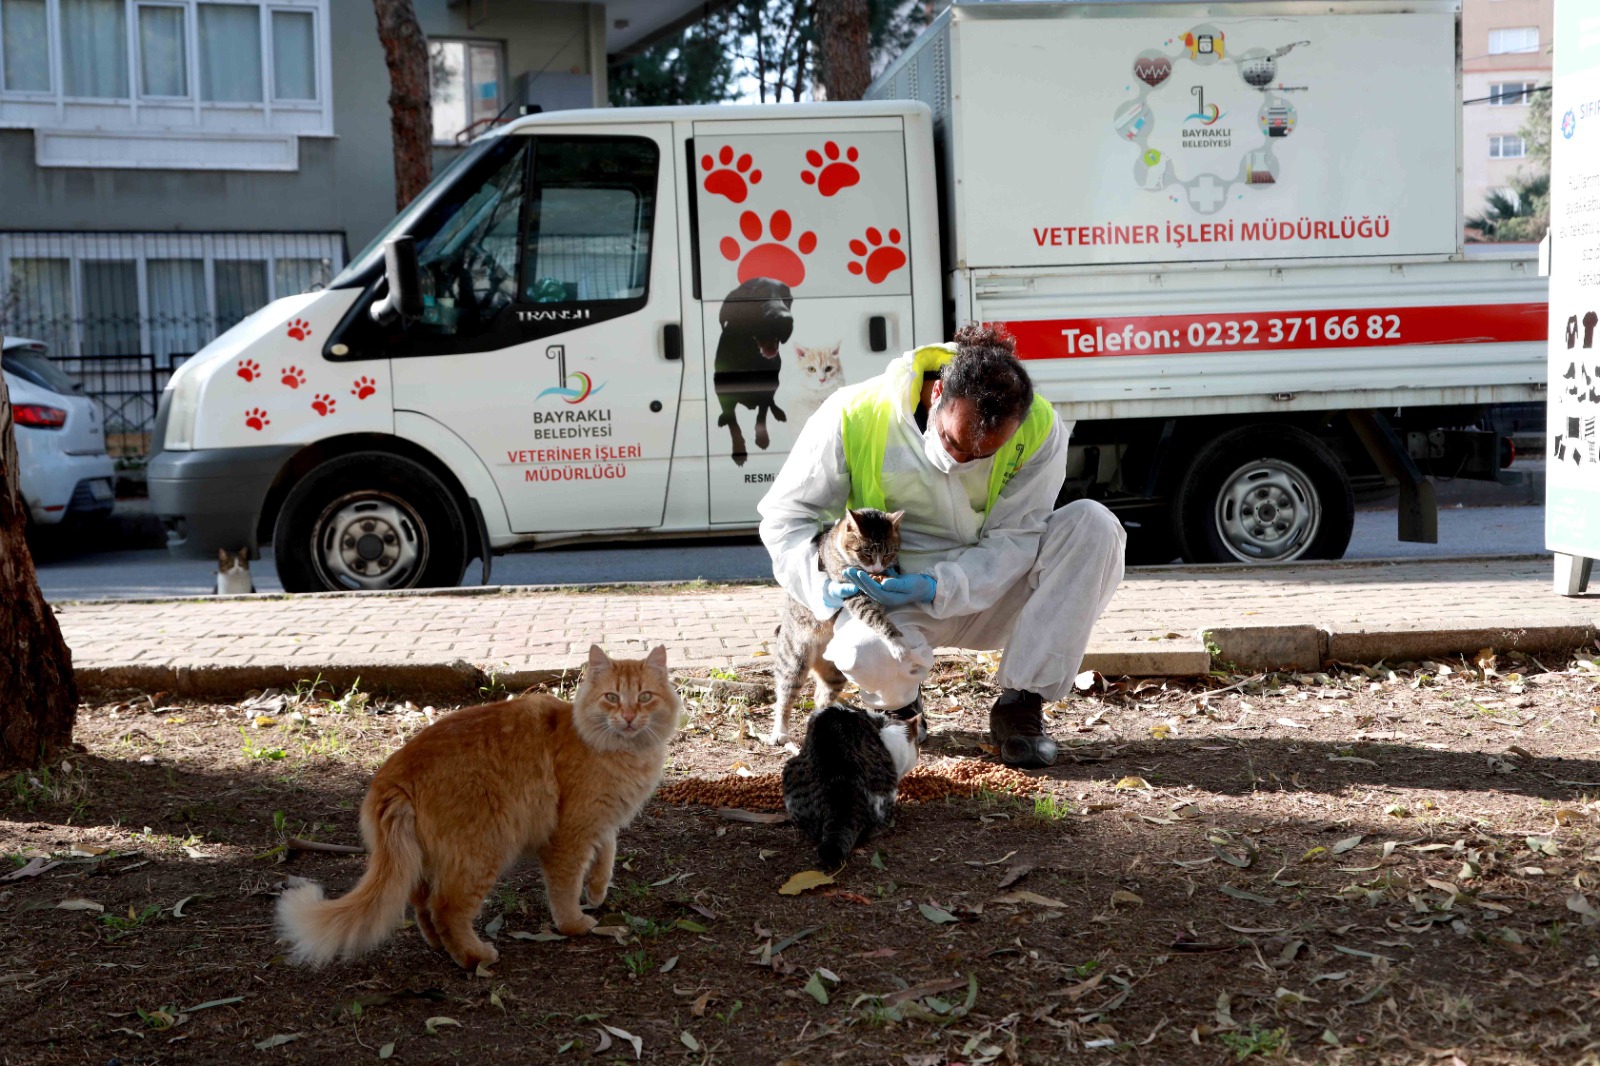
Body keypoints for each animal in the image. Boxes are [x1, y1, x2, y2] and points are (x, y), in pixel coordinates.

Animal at [275, 643, 675, 966]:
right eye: (612, 697)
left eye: (644, 697)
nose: (628, 717)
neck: (622, 753)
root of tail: (393, 774)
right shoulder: (569, 836)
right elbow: (565, 889)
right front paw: (574, 924)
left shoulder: (601, 822)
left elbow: (606, 856)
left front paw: (596, 891)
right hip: (483, 850)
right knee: (446, 909)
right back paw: (475, 957)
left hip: (427, 859)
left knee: (422, 904)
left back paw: (440, 947)